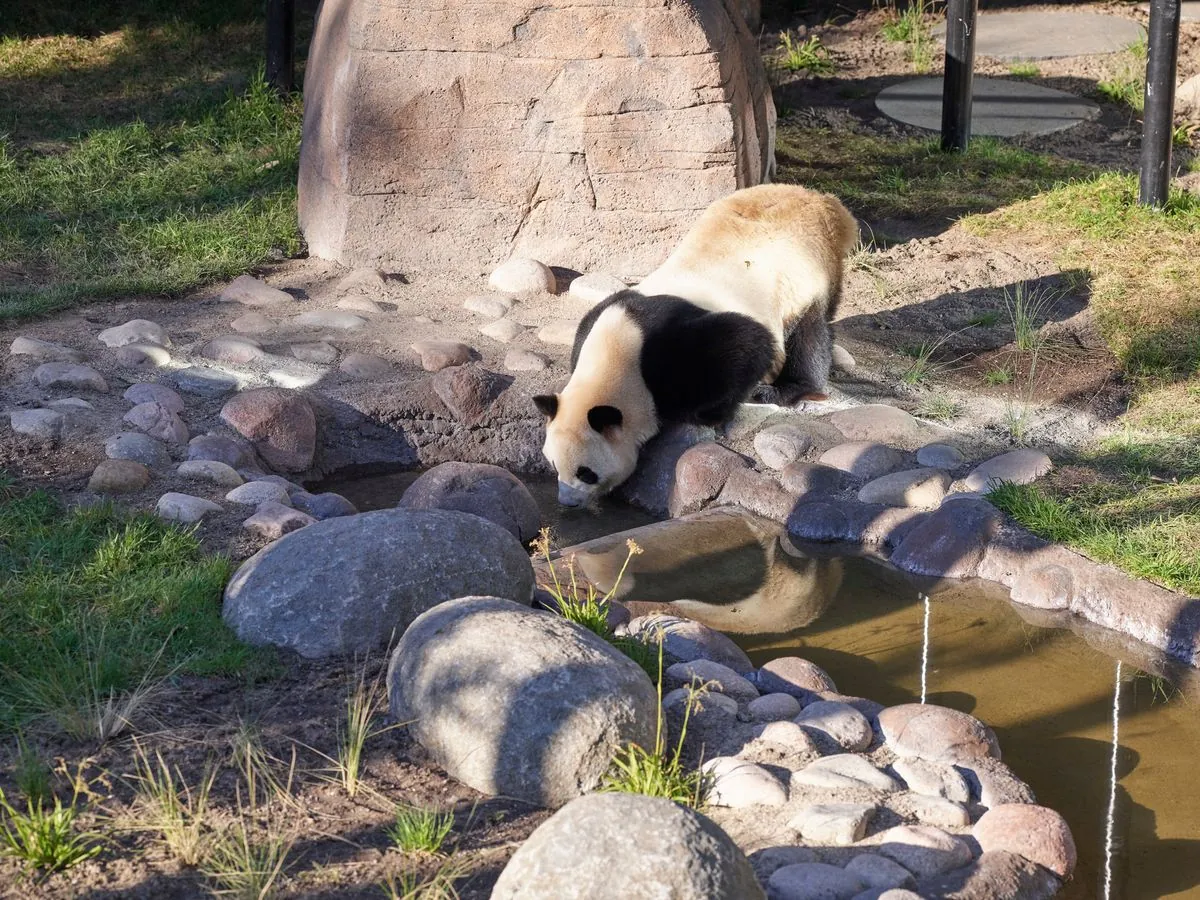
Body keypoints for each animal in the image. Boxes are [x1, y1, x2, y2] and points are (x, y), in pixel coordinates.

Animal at [532, 183, 854, 508]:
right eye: (553, 465)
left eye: (586, 473)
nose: (567, 501)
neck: (617, 354)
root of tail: (821, 200)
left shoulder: (672, 345)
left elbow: (745, 344)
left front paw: (707, 413)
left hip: (802, 271)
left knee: (809, 333)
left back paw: (788, 388)